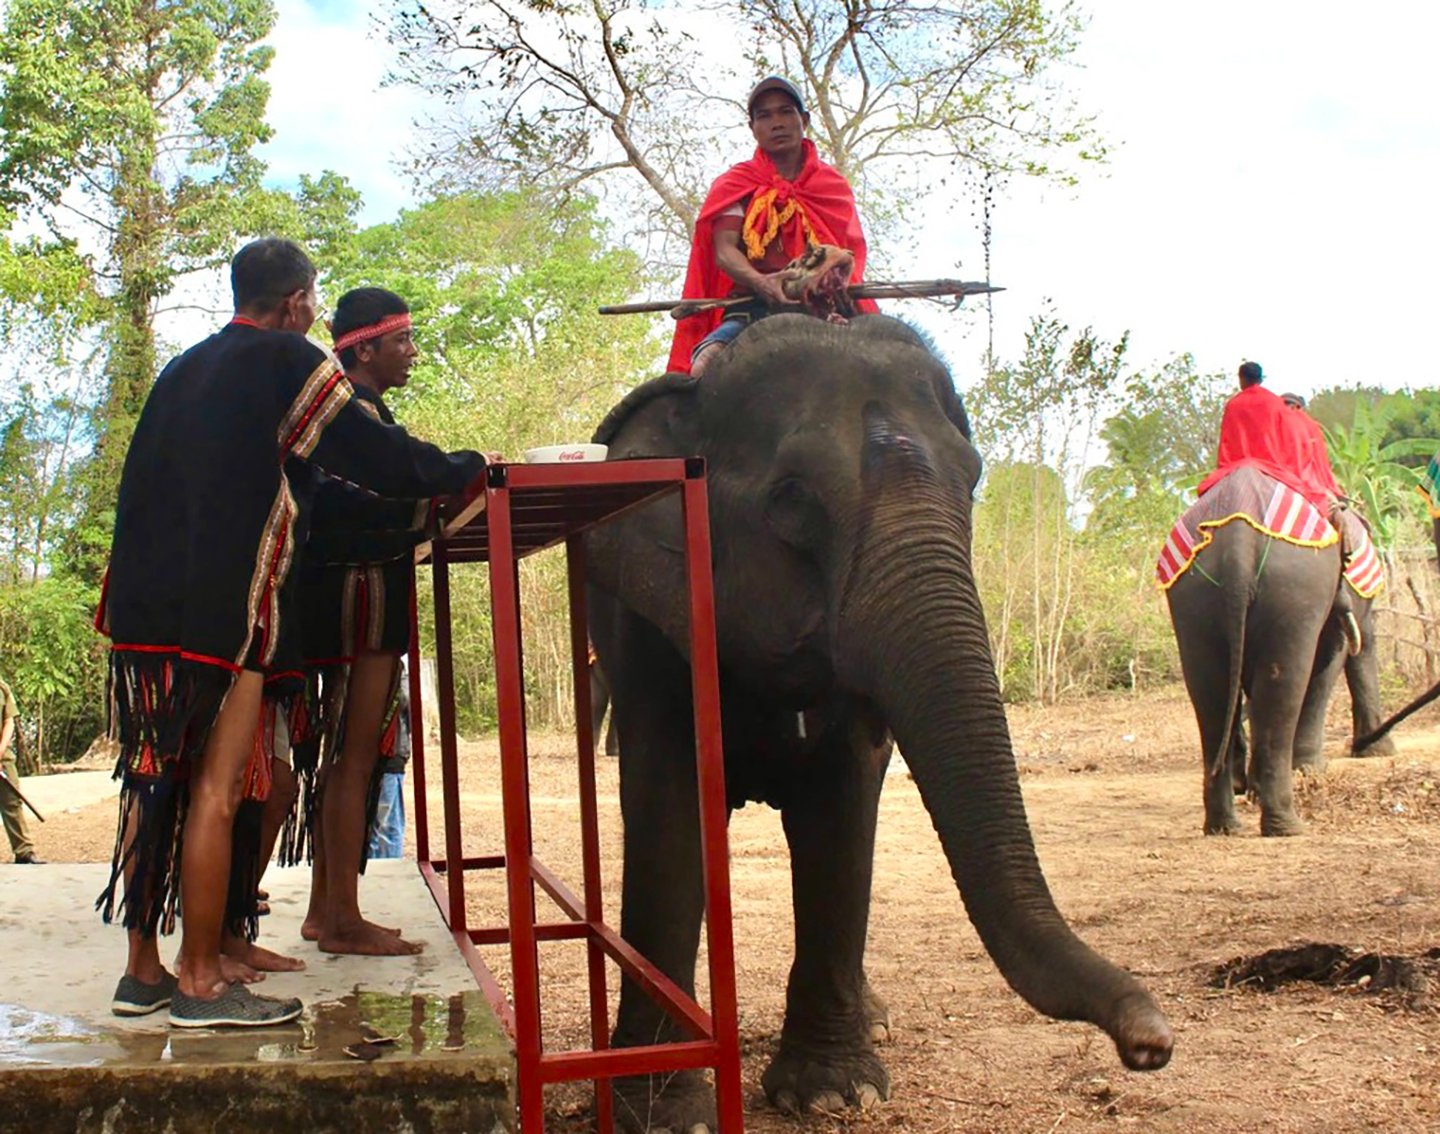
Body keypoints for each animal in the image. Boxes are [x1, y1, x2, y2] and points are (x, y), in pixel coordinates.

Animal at [581, 312, 1169, 1134]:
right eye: (791, 498)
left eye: (973, 481)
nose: (1151, 1044)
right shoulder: (647, 629)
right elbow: (667, 811)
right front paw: (666, 1115)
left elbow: (842, 812)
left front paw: (834, 1095)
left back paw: (875, 1020)